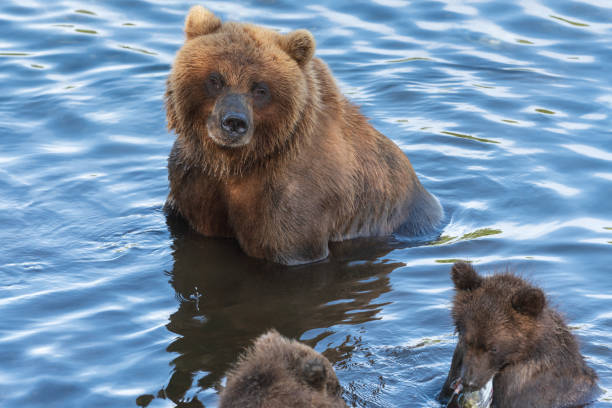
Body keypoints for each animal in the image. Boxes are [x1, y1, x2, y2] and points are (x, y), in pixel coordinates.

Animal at [163, 5, 442, 264]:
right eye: (216, 79)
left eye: (260, 89)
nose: (233, 122)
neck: (235, 163)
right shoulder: (193, 178)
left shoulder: (295, 198)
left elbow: (290, 246)